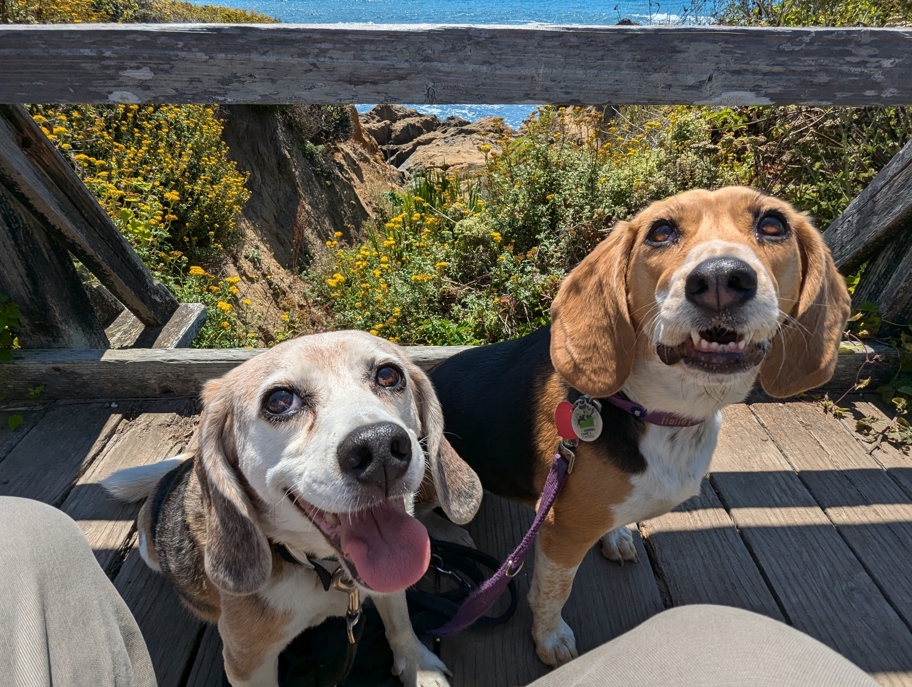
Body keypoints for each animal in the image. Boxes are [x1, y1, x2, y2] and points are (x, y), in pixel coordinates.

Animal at [103, 330, 480, 684]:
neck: (322, 569)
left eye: (389, 375)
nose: (380, 448)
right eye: (280, 400)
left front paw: (418, 670)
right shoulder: (246, 665)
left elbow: (400, 625)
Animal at [432, 187, 852, 668]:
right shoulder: (560, 533)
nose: (721, 279)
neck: (660, 413)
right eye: (661, 231)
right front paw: (550, 639)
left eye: (773, 225)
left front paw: (615, 536)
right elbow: (553, 594)